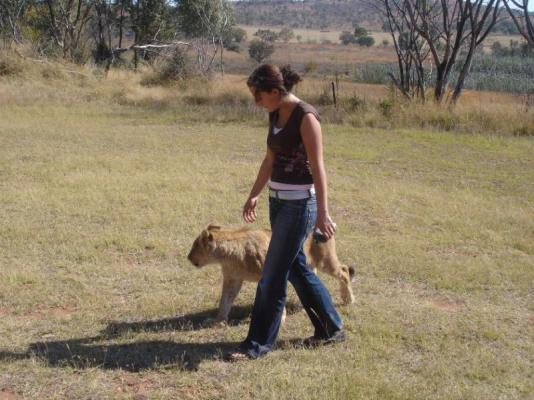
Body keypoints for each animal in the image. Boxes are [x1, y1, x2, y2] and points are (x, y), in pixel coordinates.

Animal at [188, 223, 356, 324]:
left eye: (195, 246)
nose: (188, 257)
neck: (228, 256)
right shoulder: (232, 279)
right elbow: (224, 301)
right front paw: (218, 321)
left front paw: (280, 319)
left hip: (325, 261)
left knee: (344, 271)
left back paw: (348, 299)